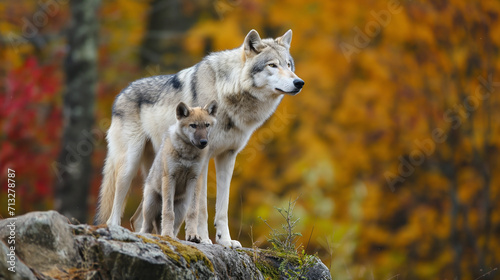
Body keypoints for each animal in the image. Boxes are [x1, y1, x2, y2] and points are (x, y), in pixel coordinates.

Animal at [141, 100, 219, 241]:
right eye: (193, 125)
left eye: (207, 125)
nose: (204, 142)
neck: (187, 155)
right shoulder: (170, 178)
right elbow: (168, 212)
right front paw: (166, 235)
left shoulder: (195, 179)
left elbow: (193, 212)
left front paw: (193, 235)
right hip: (150, 205)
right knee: (146, 226)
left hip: (181, 210)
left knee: (175, 228)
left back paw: (174, 237)